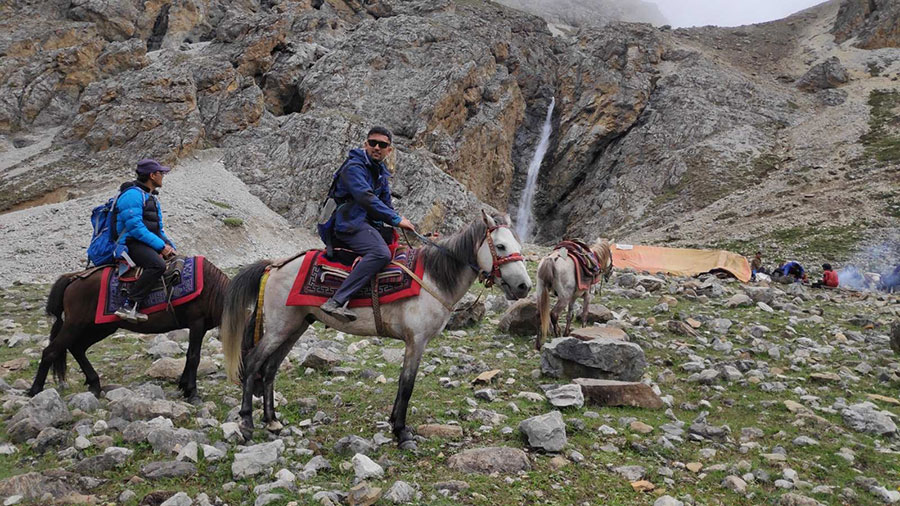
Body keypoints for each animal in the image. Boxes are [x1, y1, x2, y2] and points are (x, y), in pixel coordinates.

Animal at [28, 258, 229, 402]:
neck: (211, 288)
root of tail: (74, 278)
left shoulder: (199, 327)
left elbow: (189, 356)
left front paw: (184, 386)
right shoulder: (196, 323)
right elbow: (194, 357)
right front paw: (192, 393)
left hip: (101, 327)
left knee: (77, 348)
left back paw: (94, 385)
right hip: (75, 325)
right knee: (51, 351)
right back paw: (34, 391)